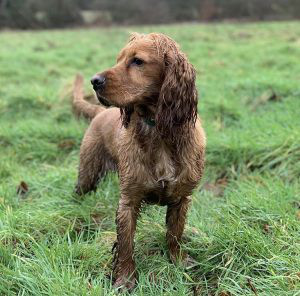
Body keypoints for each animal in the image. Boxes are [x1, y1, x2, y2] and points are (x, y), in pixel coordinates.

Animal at [71, 32, 205, 290]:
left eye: (137, 61)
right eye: (118, 59)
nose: (94, 81)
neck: (158, 130)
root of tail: (100, 112)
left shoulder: (181, 198)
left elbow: (174, 234)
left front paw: (178, 260)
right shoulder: (128, 201)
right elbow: (125, 245)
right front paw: (125, 279)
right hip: (88, 172)